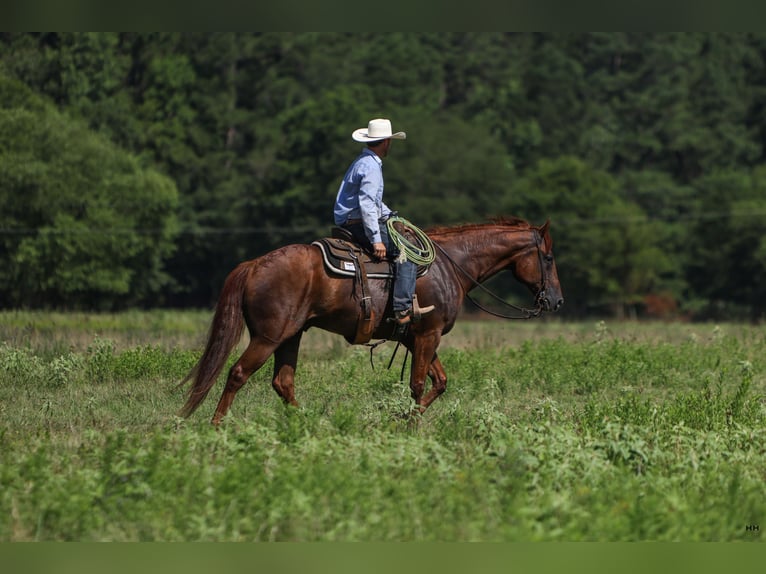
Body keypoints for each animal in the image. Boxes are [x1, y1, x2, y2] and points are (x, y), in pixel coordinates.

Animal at [178, 218, 564, 426]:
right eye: (547, 257)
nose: (557, 300)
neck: (450, 266)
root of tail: (254, 264)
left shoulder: (417, 337)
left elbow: (439, 383)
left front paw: (402, 420)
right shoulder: (428, 335)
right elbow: (419, 385)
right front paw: (409, 428)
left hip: (291, 336)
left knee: (283, 383)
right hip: (268, 337)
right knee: (237, 374)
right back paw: (216, 426)